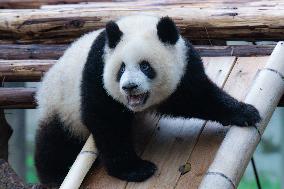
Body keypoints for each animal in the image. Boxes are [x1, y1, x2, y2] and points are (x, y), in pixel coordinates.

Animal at [35, 14, 260, 186]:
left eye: (145, 66)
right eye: (121, 68)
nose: (129, 86)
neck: (136, 24)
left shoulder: (184, 65)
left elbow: (200, 97)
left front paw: (246, 112)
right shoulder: (97, 70)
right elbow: (106, 120)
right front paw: (135, 169)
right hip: (61, 105)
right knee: (55, 142)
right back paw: (55, 176)